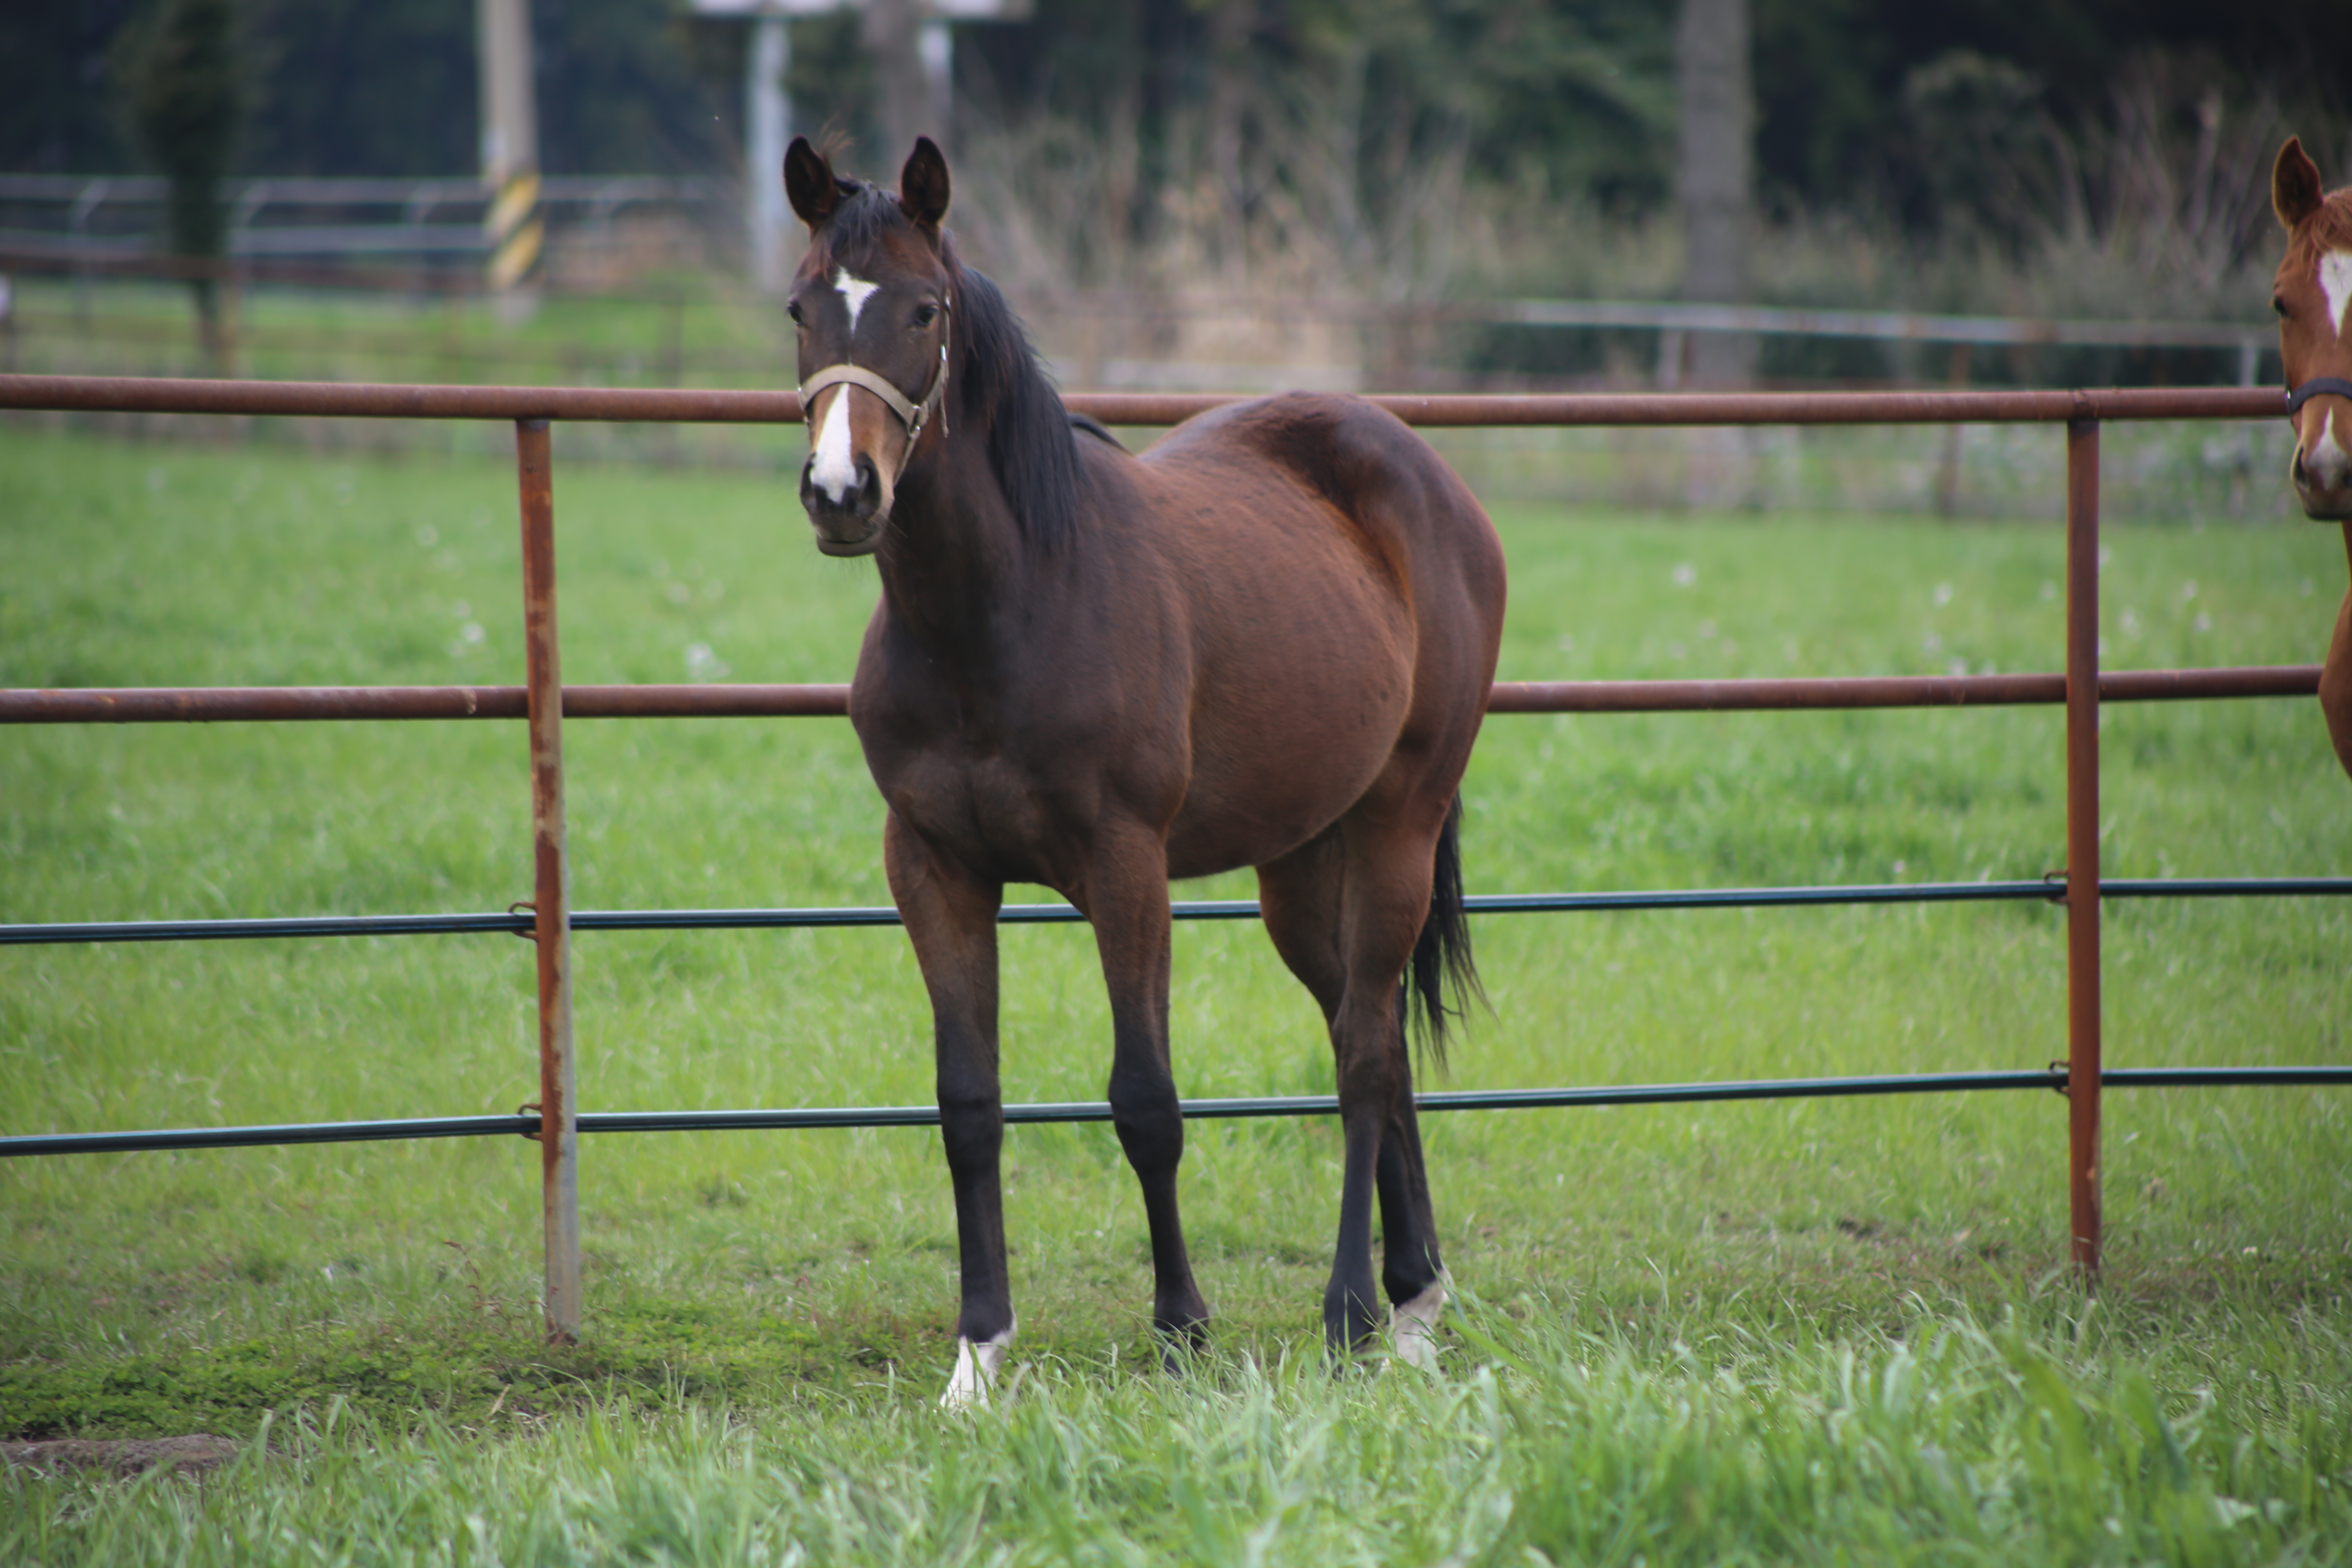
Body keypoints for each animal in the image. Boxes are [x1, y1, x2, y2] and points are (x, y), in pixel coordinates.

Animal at [781, 138, 1496, 1410]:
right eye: (801, 309)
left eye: (924, 310)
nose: (842, 493)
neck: (999, 614)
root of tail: (1425, 478)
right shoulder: (934, 869)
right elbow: (968, 1104)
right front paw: (977, 1354)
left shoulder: (1126, 869)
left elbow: (1145, 1102)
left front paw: (1180, 1331)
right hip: (1301, 868)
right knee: (1375, 1041)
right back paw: (1413, 1304)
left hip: (1397, 827)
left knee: (1366, 1054)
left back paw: (1352, 1314)